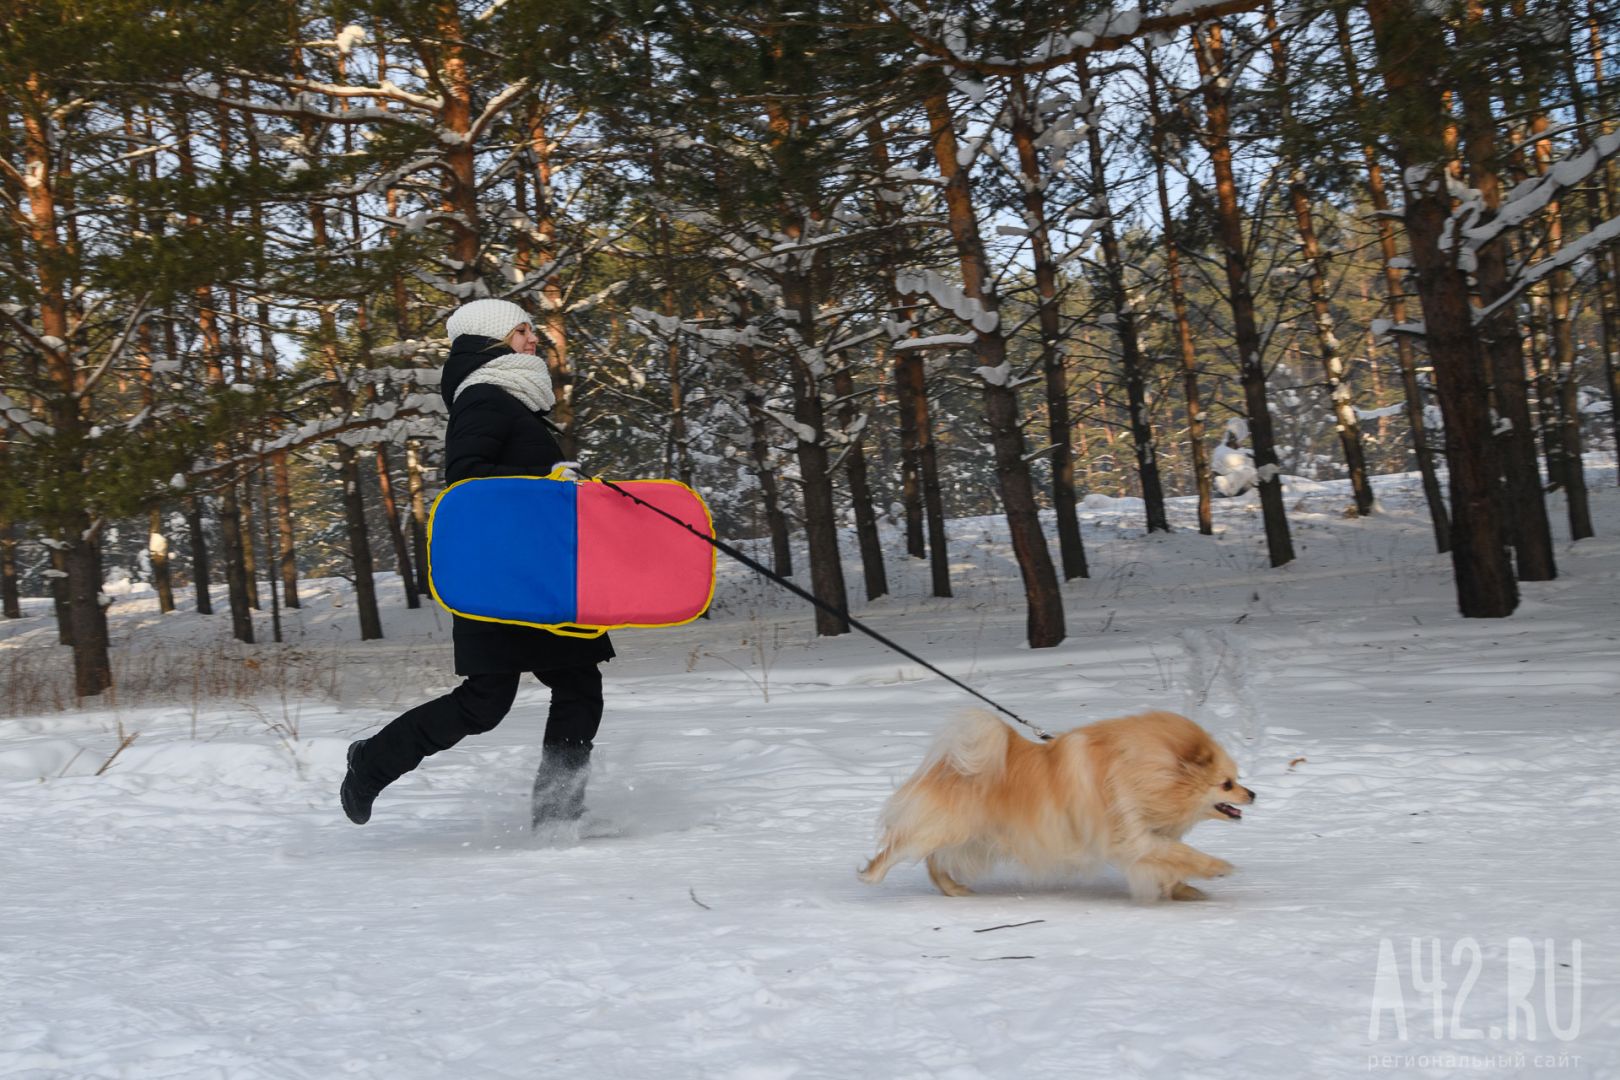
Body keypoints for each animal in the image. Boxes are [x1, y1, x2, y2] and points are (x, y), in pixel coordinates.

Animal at [861, 709, 1250, 906]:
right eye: (1226, 784)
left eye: (1236, 778)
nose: (1253, 795)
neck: (1151, 770)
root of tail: (953, 765)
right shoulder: (1132, 835)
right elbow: (1181, 854)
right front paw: (1218, 867)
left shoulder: (1146, 836)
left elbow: (1171, 861)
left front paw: (1183, 890)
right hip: (944, 828)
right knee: (899, 848)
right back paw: (871, 874)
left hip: (973, 838)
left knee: (935, 861)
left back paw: (953, 889)